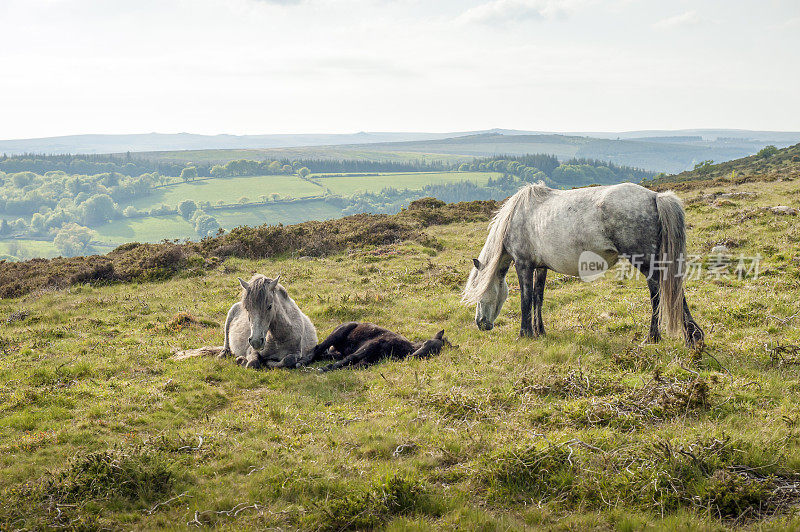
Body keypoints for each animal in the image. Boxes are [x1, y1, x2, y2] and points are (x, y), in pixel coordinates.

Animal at [466, 182, 704, 350]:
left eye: (479, 293)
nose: (480, 324)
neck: (517, 216)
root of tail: (655, 196)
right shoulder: (541, 267)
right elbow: (538, 298)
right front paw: (540, 332)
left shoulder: (524, 265)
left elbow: (526, 300)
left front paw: (524, 334)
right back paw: (693, 336)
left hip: (644, 262)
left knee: (657, 292)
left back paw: (653, 337)